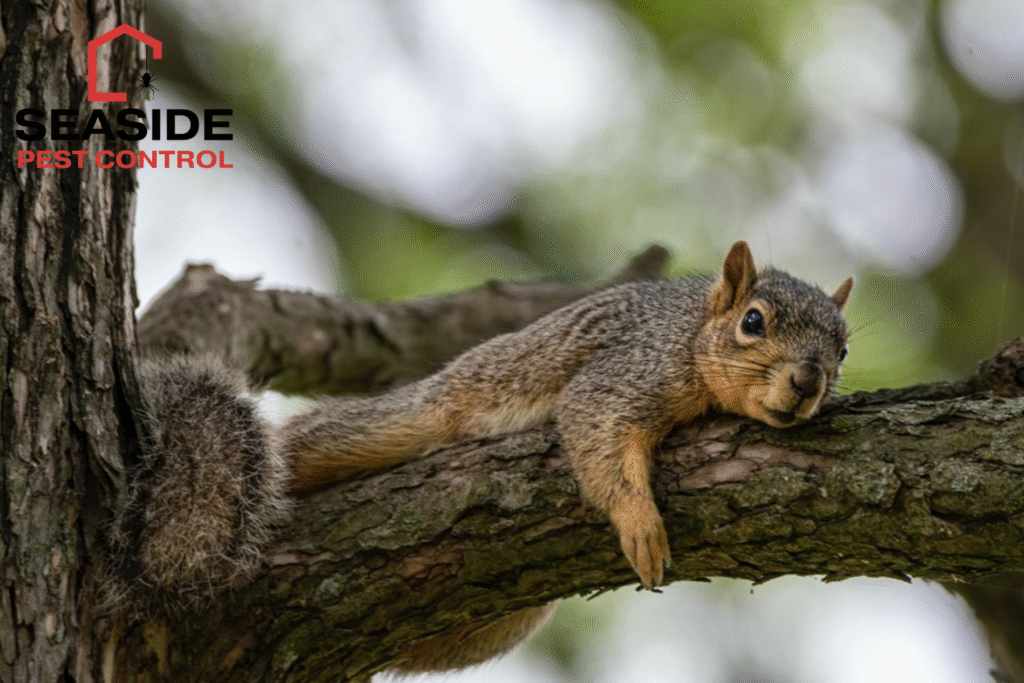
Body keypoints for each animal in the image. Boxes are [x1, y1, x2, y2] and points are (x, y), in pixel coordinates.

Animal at [114, 241, 852, 671]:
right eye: (753, 321)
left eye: (843, 348)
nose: (808, 382)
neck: (695, 334)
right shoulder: (626, 372)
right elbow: (597, 428)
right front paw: (640, 523)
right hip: (415, 416)